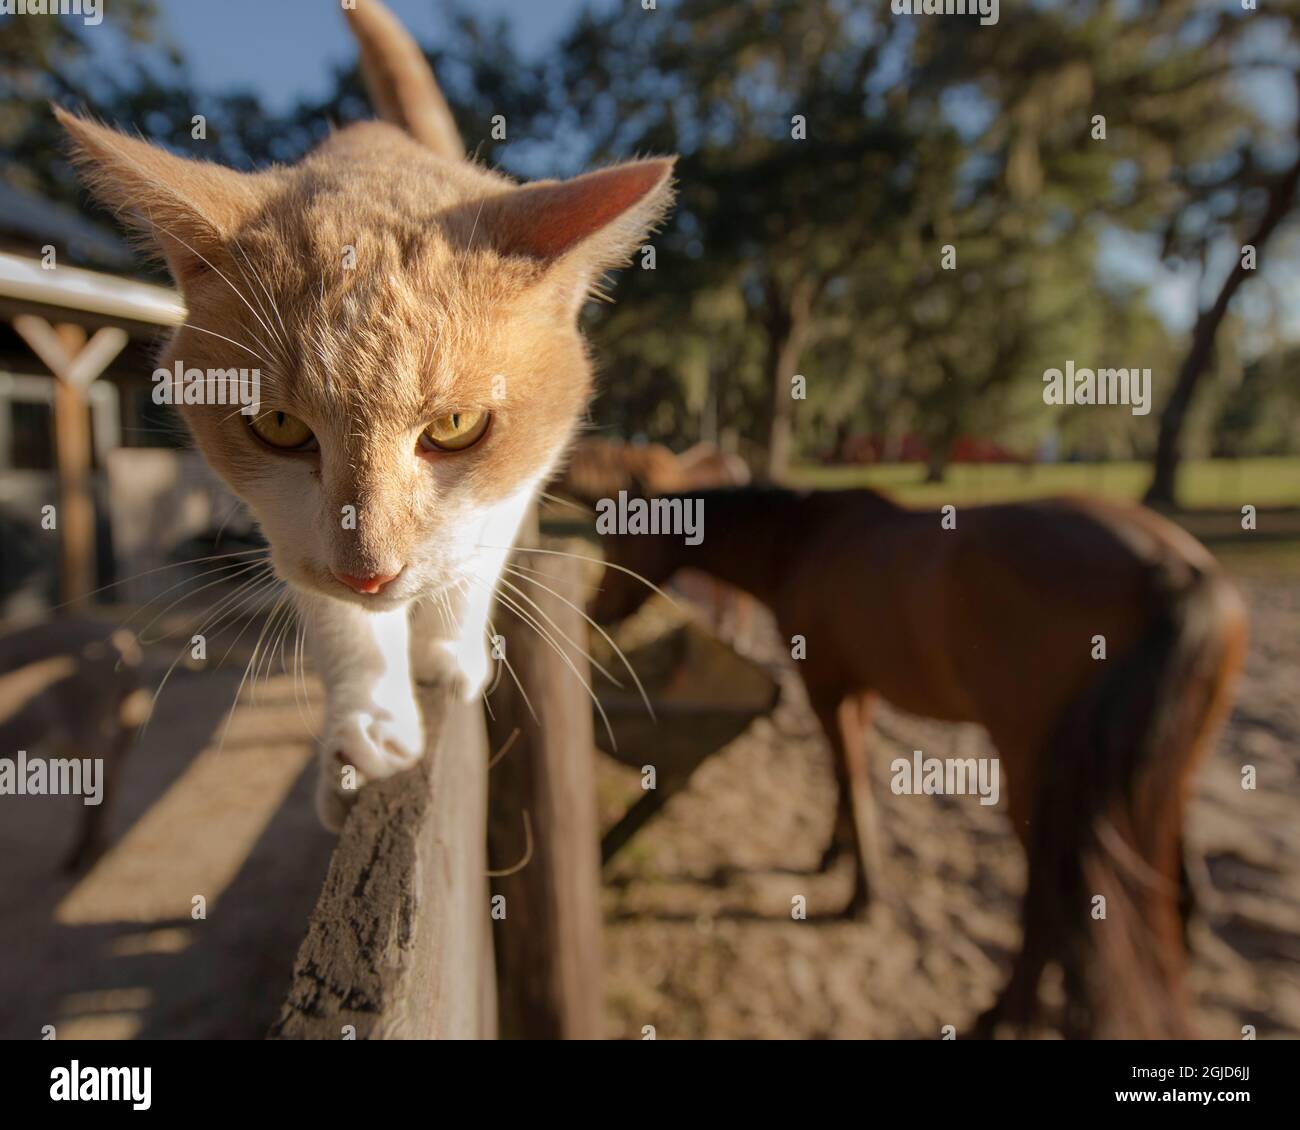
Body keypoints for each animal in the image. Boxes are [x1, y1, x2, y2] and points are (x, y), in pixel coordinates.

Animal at [55, 0, 676, 827]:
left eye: (455, 428)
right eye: (279, 427)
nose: (371, 574)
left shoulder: (517, 476)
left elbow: (474, 556)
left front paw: (450, 653)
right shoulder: (290, 532)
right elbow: (337, 616)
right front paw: (367, 729)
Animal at [592, 481, 1248, 1035]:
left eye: (618, 540)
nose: (596, 612)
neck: (805, 540)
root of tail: (1178, 570)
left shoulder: (826, 689)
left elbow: (851, 777)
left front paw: (862, 893)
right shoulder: (857, 693)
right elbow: (843, 778)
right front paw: (833, 854)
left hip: (1041, 779)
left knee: (1048, 896)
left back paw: (1000, 1013)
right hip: (1160, 777)